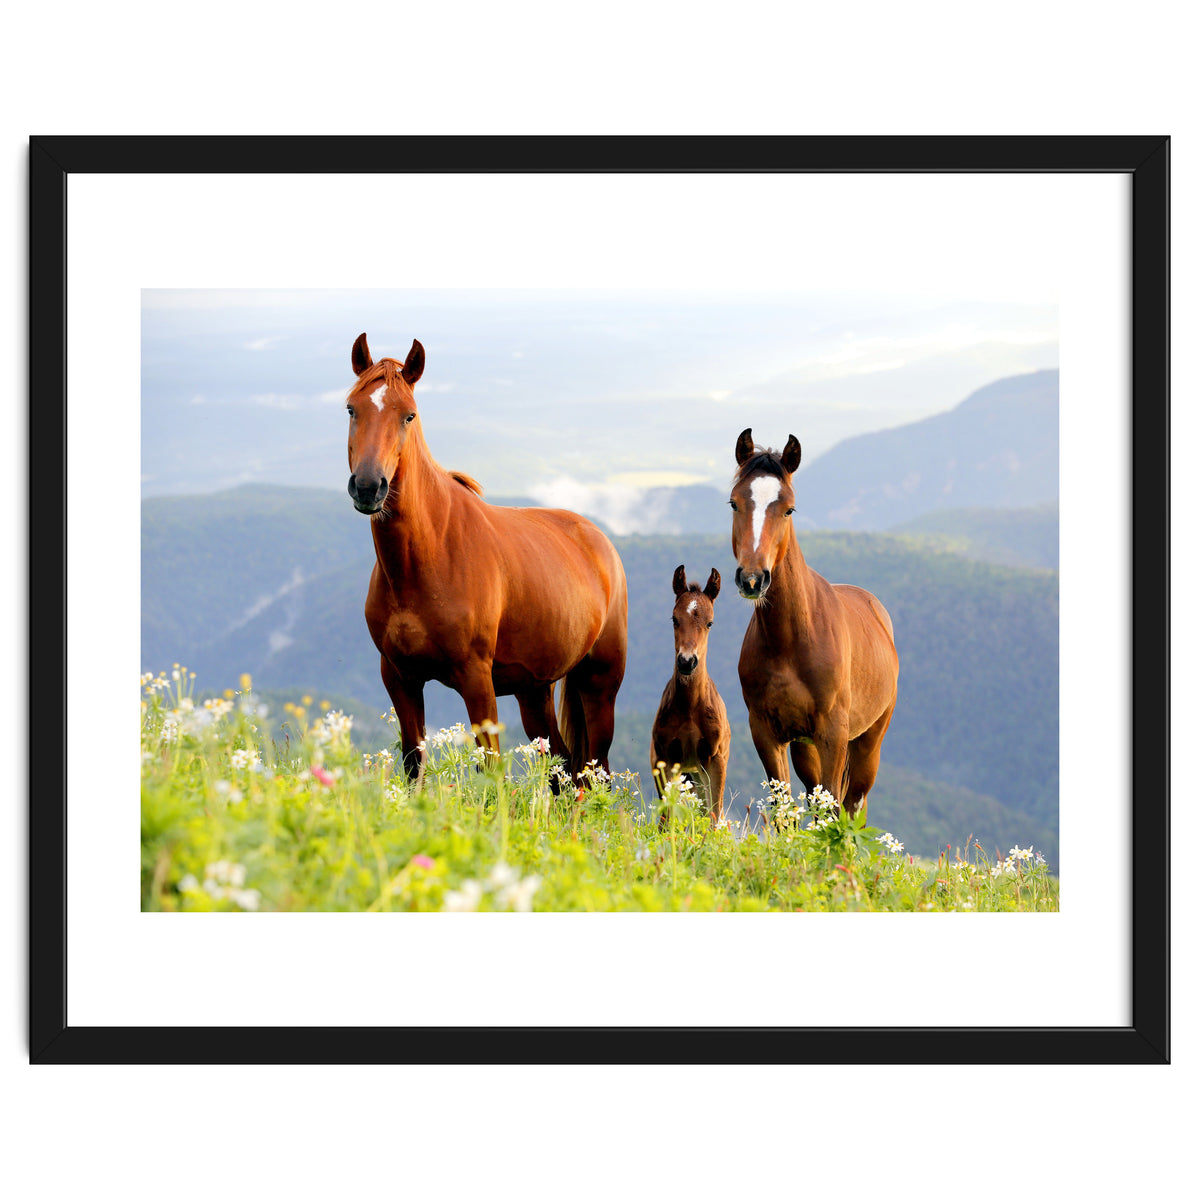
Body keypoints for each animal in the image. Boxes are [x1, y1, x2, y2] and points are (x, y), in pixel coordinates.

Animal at [344, 333, 628, 782]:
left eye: (408, 416)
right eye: (352, 408)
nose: (370, 486)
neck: (426, 558)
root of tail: (599, 541)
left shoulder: (476, 679)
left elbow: (491, 769)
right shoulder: (399, 677)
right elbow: (413, 763)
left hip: (599, 683)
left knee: (593, 772)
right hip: (534, 691)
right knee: (563, 768)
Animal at [650, 566, 731, 824]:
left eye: (710, 623)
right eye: (674, 619)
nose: (687, 661)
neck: (690, 707)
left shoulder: (715, 759)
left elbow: (714, 815)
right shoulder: (664, 758)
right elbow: (666, 818)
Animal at [729, 428, 898, 819]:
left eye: (789, 508)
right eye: (734, 503)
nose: (752, 579)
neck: (790, 640)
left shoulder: (832, 734)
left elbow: (835, 806)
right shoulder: (767, 733)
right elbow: (784, 809)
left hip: (868, 741)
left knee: (854, 803)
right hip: (804, 747)